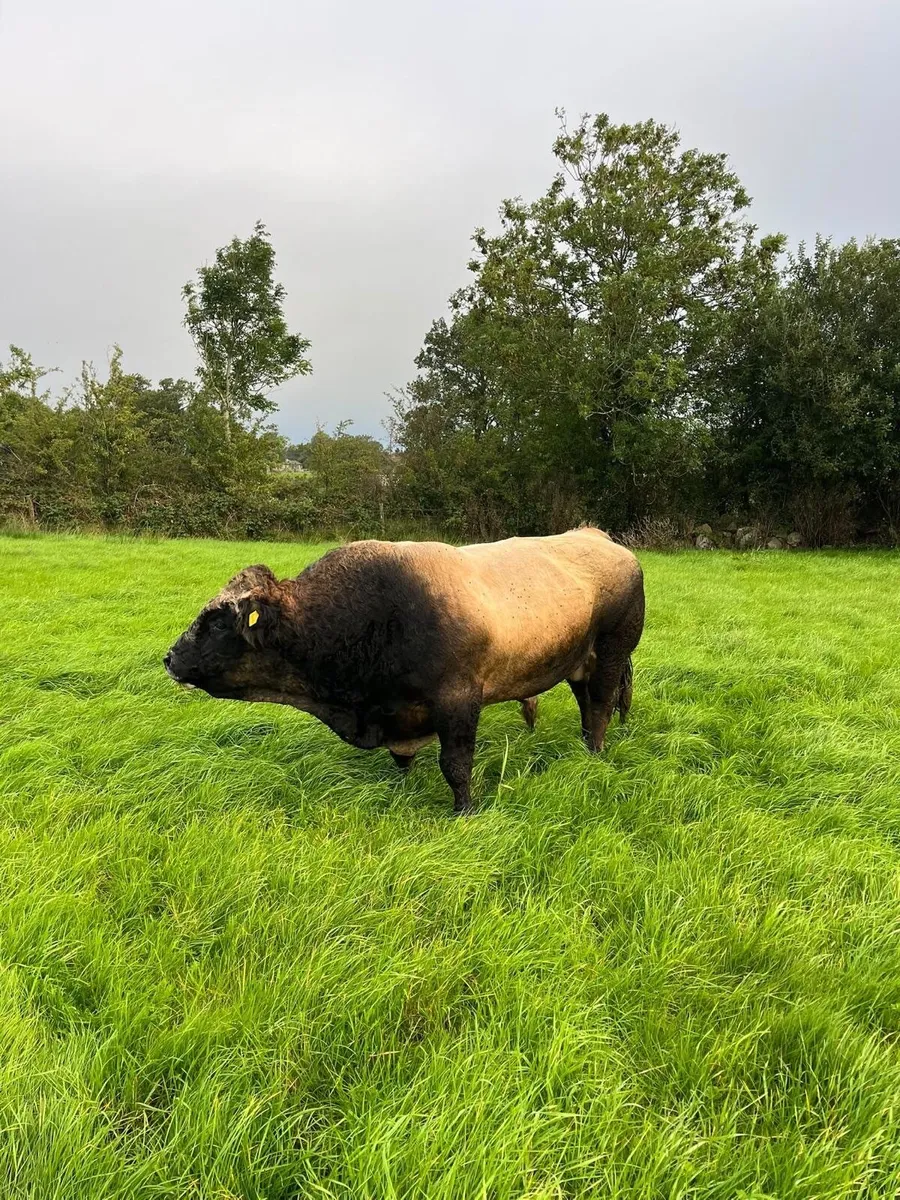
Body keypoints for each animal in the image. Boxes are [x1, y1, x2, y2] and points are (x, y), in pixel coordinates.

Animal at [163, 527, 645, 813]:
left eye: (217, 623)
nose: (169, 658)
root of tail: (597, 535)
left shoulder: (459, 699)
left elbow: (455, 766)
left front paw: (464, 812)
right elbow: (401, 759)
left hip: (611, 652)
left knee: (601, 707)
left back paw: (594, 754)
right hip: (578, 661)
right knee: (587, 707)